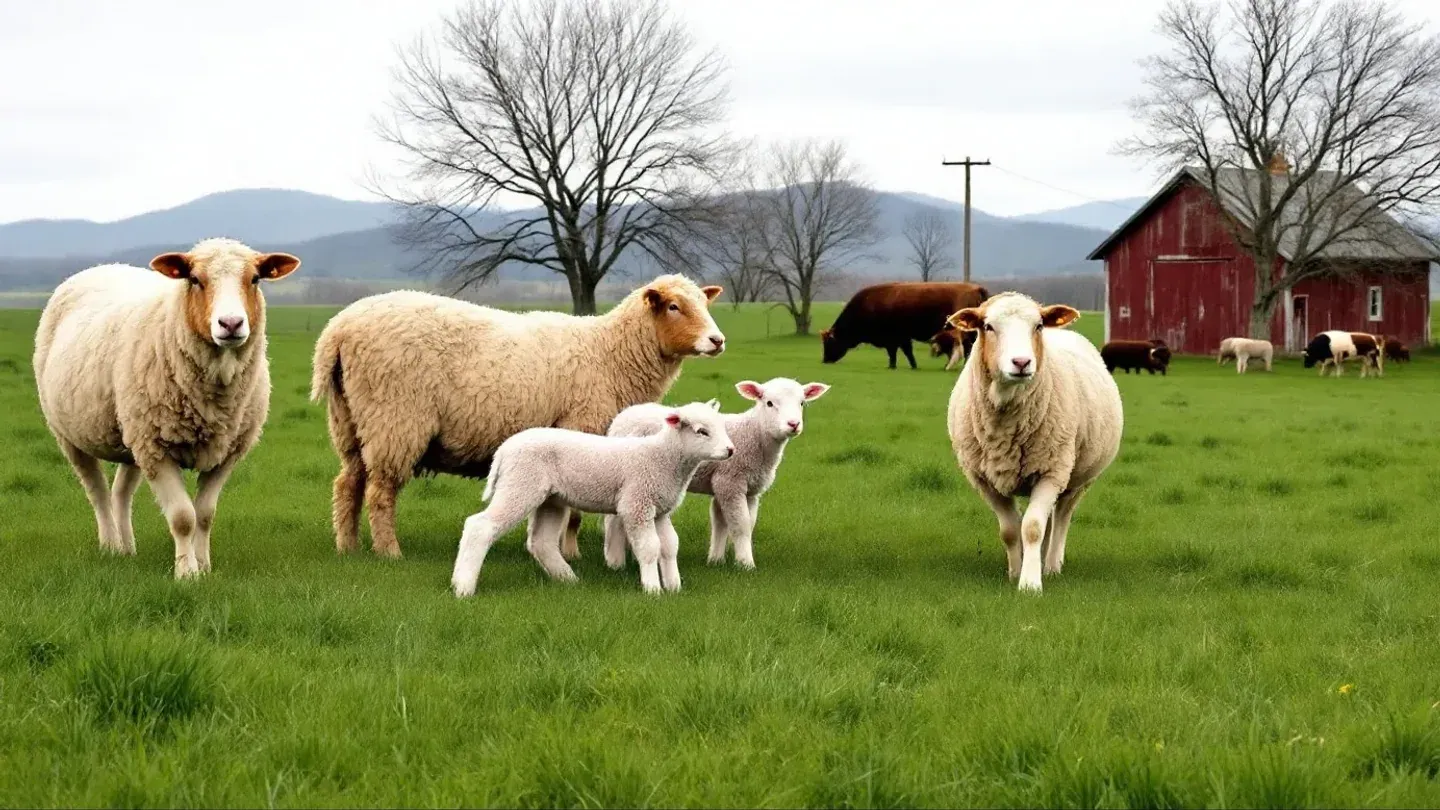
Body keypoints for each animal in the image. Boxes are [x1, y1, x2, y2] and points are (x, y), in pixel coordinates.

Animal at [32, 238, 301, 578]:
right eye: (195, 279)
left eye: (255, 279)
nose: (231, 324)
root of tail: (101, 267)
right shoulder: (156, 450)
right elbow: (183, 517)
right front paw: (186, 574)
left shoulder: (227, 452)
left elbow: (205, 514)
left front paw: (203, 565)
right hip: (71, 434)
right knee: (97, 491)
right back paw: (110, 545)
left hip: (132, 435)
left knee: (121, 492)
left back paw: (127, 548)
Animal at [311, 275, 725, 560]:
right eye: (673, 307)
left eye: (704, 304)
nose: (717, 341)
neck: (611, 353)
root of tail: (337, 330)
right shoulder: (582, 427)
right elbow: (574, 510)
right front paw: (569, 551)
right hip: (396, 417)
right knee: (380, 491)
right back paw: (389, 552)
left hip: (349, 419)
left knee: (347, 484)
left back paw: (347, 547)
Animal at [450, 402, 734, 597]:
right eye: (701, 431)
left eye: (721, 426)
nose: (730, 450)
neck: (662, 457)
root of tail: (504, 449)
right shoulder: (637, 504)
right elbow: (649, 548)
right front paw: (653, 589)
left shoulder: (660, 510)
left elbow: (669, 546)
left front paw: (674, 586)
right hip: (521, 483)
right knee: (480, 526)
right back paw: (463, 587)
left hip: (550, 498)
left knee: (541, 541)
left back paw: (569, 580)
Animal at [601, 377, 832, 570]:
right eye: (769, 403)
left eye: (802, 403)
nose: (793, 424)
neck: (755, 436)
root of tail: (624, 414)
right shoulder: (730, 481)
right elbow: (741, 525)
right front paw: (746, 564)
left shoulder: (749, 490)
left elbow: (727, 522)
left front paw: (716, 560)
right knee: (613, 519)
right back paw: (616, 561)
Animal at [945, 292, 1124, 593]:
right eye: (988, 327)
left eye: (1038, 326)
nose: (1021, 362)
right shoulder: (984, 480)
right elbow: (1009, 530)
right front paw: (1016, 572)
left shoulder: (1051, 471)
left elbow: (1031, 528)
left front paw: (1030, 584)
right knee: (1049, 521)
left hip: (1077, 477)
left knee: (1061, 518)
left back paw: (1051, 565)